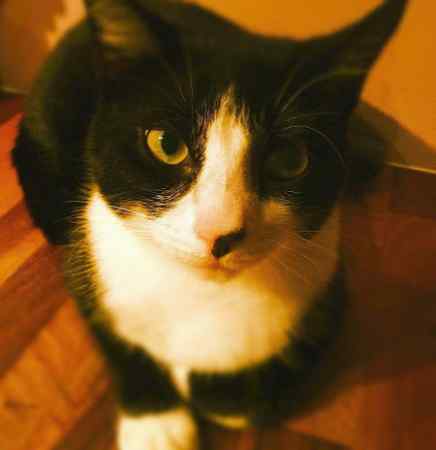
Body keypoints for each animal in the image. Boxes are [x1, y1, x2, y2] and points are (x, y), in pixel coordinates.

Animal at [12, 0, 407, 449]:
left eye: (290, 159)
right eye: (166, 144)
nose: (219, 233)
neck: (201, 293)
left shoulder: (328, 292)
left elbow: (260, 384)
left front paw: (221, 394)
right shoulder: (91, 266)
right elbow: (115, 336)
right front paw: (156, 423)